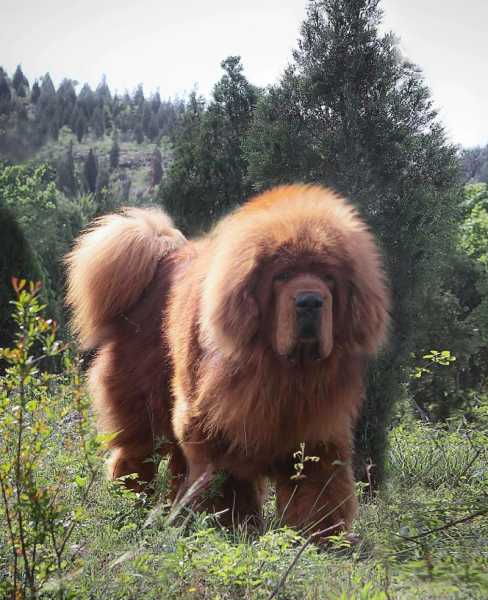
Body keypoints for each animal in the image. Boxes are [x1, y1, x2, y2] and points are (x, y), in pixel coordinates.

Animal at [66, 184, 390, 536]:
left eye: (329, 278)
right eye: (283, 275)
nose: (310, 301)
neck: (282, 373)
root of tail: (162, 257)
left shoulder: (318, 434)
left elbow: (318, 493)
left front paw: (318, 537)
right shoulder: (217, 429)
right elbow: (227, 486)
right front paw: (232, 528)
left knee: (176, 467)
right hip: (145, 402)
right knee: (136, 456)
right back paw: (130, 506)